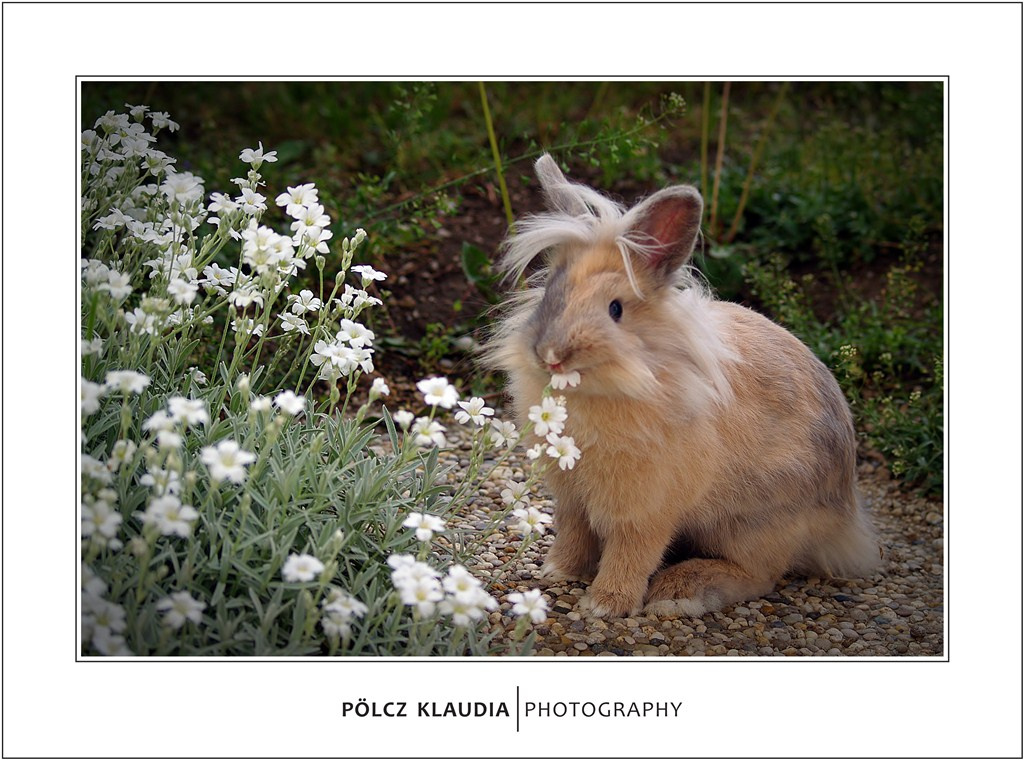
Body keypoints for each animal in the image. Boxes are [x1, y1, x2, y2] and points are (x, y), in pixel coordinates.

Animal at [481, 154, 880, 618]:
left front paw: (605, 604)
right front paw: (557, 571)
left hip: (756, 525)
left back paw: (680, 590)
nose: (552, 355)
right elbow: (574, 533)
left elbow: (632, 552)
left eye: (616, 309)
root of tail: (846, 525)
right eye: (551, 292)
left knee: (760, 574)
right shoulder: (573, 497)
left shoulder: (647, 507)